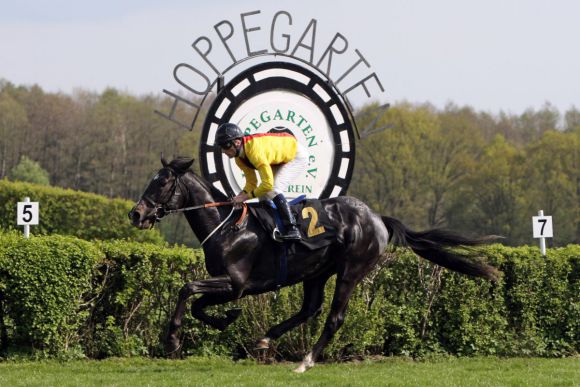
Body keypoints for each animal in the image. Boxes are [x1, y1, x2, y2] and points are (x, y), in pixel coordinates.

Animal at [129, 157, 500, 372]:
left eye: (162, 182)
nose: (136, 213)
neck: (227, 226)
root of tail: (378, 218)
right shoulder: (230, 285)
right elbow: (198, 304)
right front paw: (225, 320)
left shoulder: (236, 283)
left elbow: (186, 289)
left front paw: (173, 341)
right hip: (316, 273)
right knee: (310, 308)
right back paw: (266, 339)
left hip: (351, 270)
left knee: (334, 317)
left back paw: (306, 361)